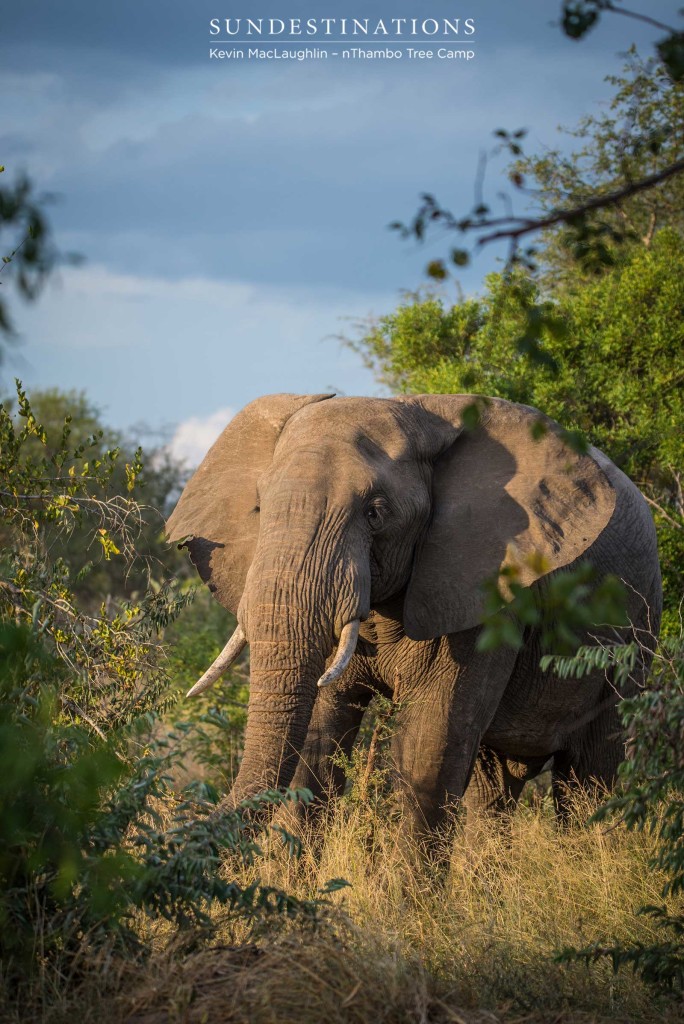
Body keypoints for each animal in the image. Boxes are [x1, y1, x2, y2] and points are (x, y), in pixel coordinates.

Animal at [166, 391, 663, 831]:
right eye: (260, 507)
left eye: (374, 513)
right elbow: (319, 742)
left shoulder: (482, 585)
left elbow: (429, 746)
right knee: (492, 788)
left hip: (635, 635)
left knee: (588, 777)